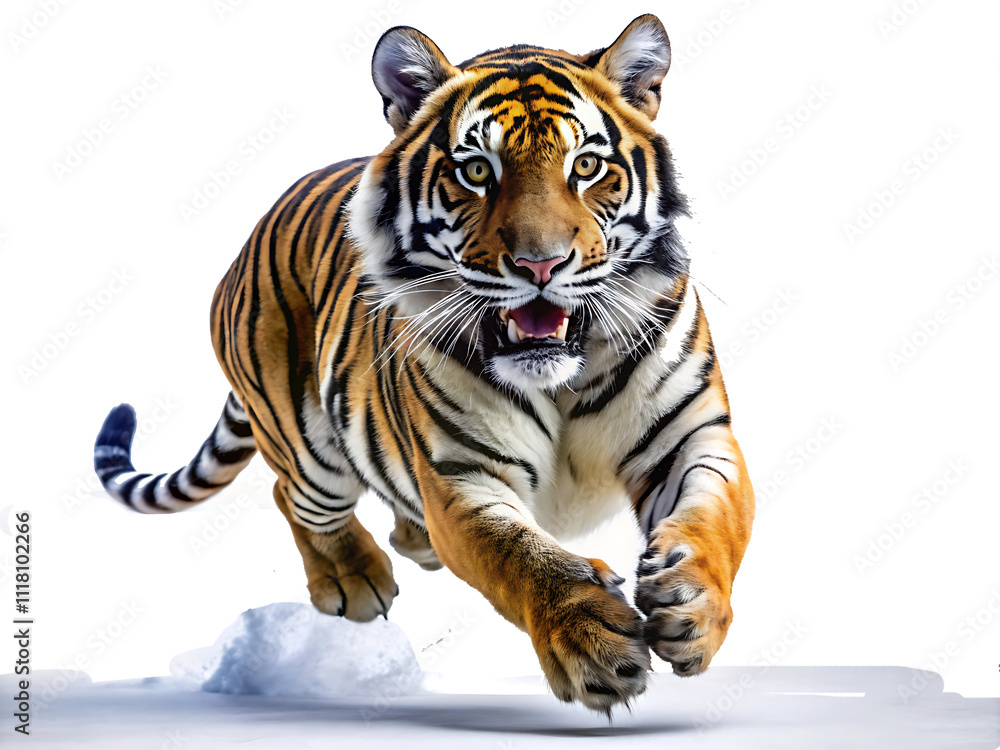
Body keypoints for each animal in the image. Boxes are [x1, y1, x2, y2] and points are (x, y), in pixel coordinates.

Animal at [93, 14, 755, 712]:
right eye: (476, 170)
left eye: (586, 166)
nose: (541, 264)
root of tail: (250, 239)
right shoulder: (460, 475)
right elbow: (520, 557)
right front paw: (590, 641)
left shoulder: (692, 437)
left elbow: (717, 521)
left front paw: (693, 610)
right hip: (304, 443)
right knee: (293, 495)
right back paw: (354, 584)